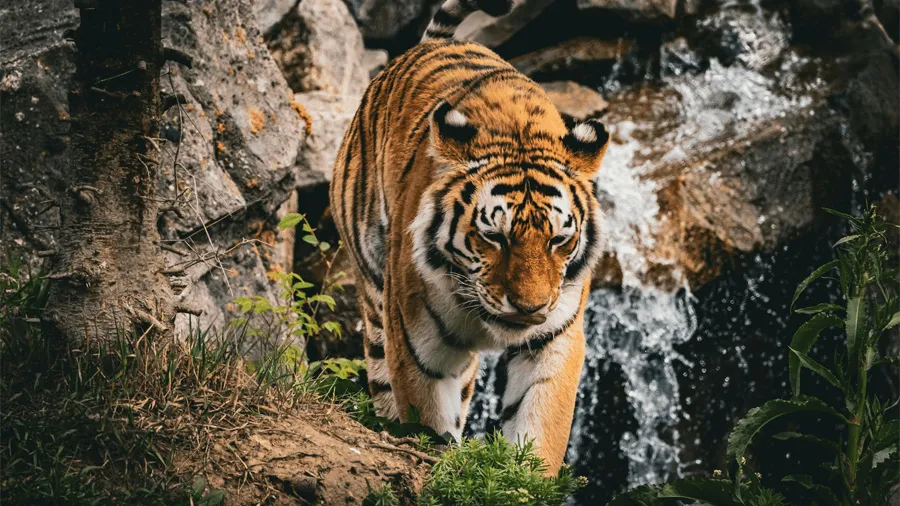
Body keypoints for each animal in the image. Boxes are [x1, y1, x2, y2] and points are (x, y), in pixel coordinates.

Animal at [329, 0, 610, 474]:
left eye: (558, 240)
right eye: (494, 237)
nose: (529, 307)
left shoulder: (555, 337)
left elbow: (540, 425)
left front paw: (526, 480)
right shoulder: (417, 342)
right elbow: (429, 419)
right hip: (372, 291)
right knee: (383, 381)